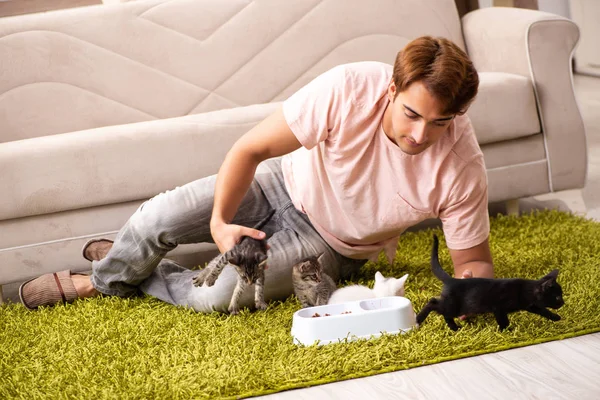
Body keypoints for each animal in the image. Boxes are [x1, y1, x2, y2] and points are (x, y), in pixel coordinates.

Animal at [414, 234, 564, 332]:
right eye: (557, 297)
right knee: (433, 303)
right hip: (453, 306)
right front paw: (507, 331)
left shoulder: (531, 305)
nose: (563, 303)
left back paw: (455, 328)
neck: (527, 289)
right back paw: (419, 319)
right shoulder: (498, 307)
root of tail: (452, 280)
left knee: (445, 314)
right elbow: (503, 320)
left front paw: (555, 317)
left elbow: (543, 310)